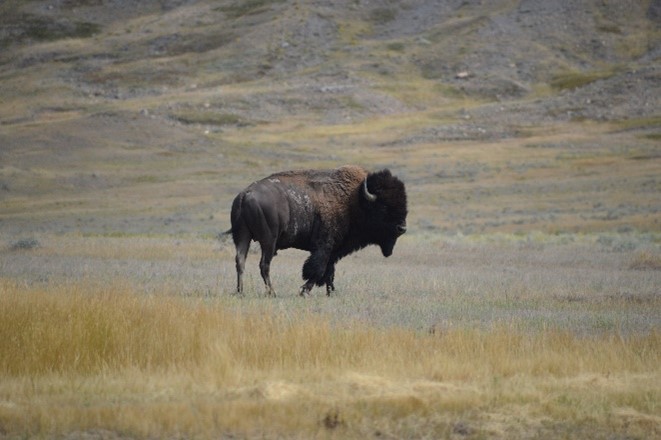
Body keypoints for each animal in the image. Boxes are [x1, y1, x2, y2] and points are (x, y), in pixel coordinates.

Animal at [228, 164, 408, 296]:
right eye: (384, 207)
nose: (402, 228)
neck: (355, 200)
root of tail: (245, 194)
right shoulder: (325, 246)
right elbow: (318, 269)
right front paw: (304, 291)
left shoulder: (335, 249)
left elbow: (329, 270)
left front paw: (331, 292)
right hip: (268, 241)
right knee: (264, 265)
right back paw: (272, 292)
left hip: (242, 237)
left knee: (240, 261)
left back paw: (240, 292)